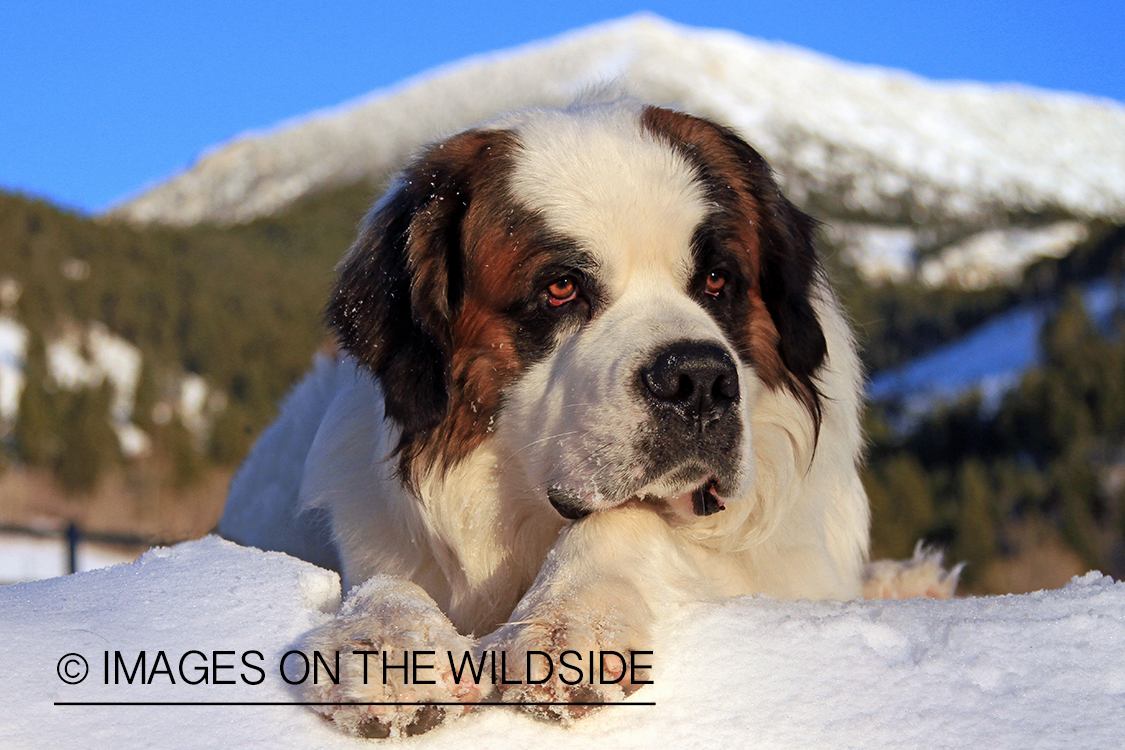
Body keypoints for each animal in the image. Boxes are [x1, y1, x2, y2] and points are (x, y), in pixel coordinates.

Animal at [217, 96, 949, 737]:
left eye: (717, 281)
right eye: (561, 288)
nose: (699, 380)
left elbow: (625, 523)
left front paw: (564, 629)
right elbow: (382, 578)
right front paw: (389, 648)